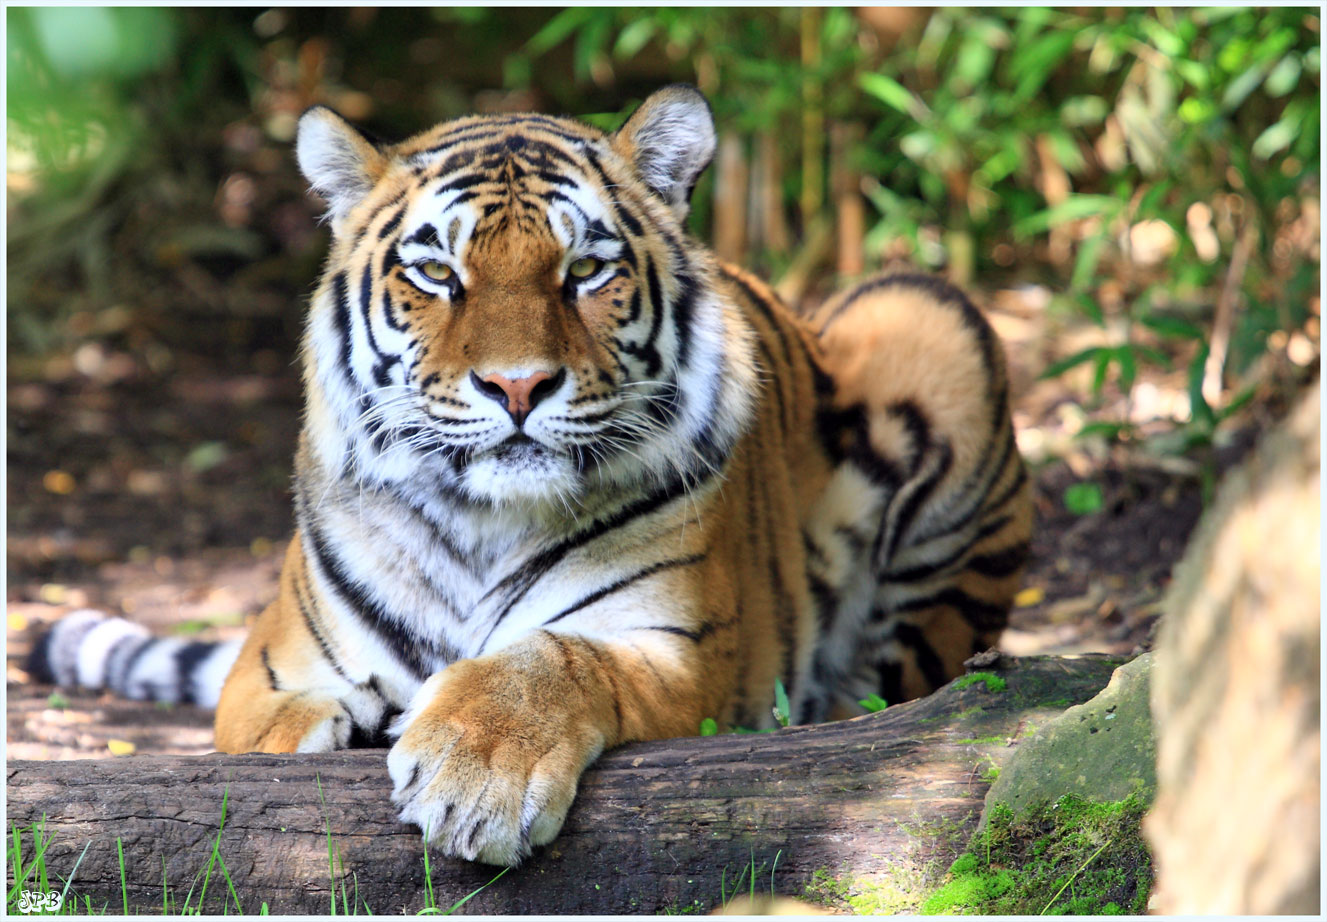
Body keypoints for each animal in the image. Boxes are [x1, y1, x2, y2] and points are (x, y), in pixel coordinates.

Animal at [28, 84, 1024, 864]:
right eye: (437, 271)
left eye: (584, 269)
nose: (517, 385)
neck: (480, 519)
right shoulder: (269, 668)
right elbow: (264, 738)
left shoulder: (677, 648)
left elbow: (551, 655)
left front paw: (478, 777)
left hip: (926, 316)